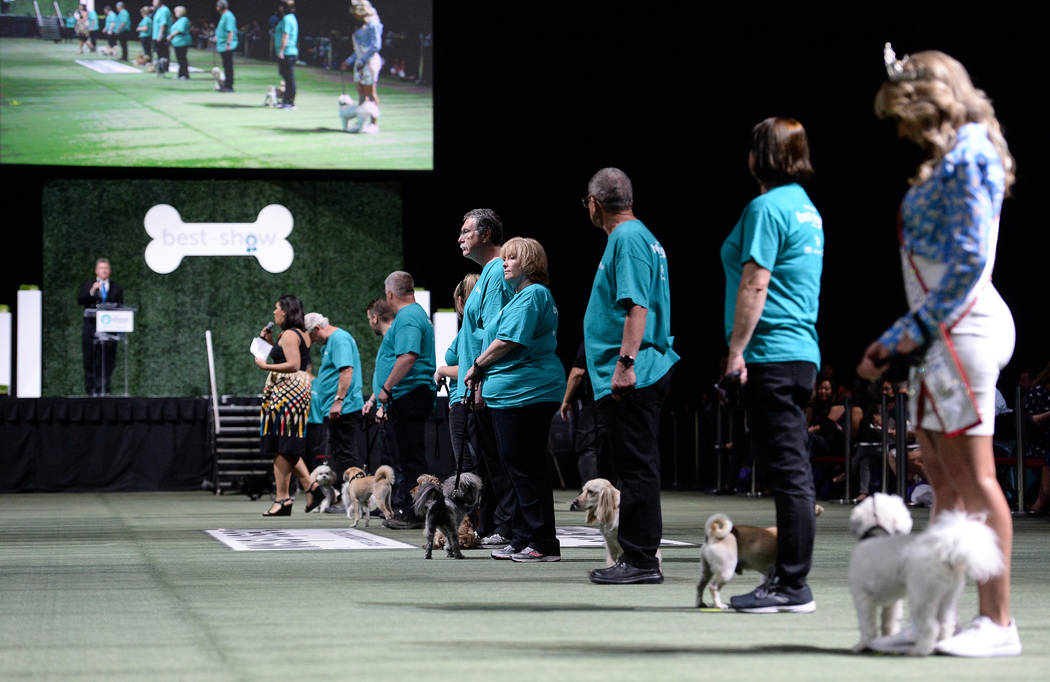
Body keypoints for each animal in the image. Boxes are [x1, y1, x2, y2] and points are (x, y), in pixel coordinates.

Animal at [844, 488, 999, 654]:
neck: (877, 533)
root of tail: (946, 553)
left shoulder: (863, 598)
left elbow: (867, 625)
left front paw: (862, 645)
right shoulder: (893, 602)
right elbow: (889, 622)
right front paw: (884, 639)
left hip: (922, 596)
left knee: (931, 626)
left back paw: (919, 650)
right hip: (948, 596)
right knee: (946, 623)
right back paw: (941, 645)